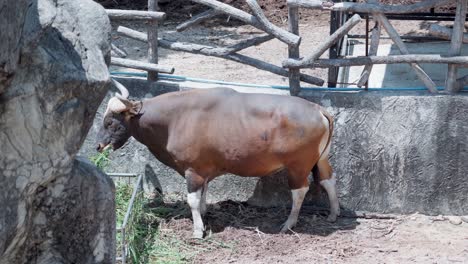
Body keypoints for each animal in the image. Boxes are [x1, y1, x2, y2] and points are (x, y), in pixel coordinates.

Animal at [98, 79, 340, 238]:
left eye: (110, 122)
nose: (99, 145)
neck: (175, 119)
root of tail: (318, 109)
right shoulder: (204, 170)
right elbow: (203, 194)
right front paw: (204, 215)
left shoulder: (192, 170)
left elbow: (192, 200)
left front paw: (197, 230)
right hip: (320, 160)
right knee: (328, 179)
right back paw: (334, 213)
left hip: (298, 165)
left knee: (300, 190)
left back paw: (289, 223)